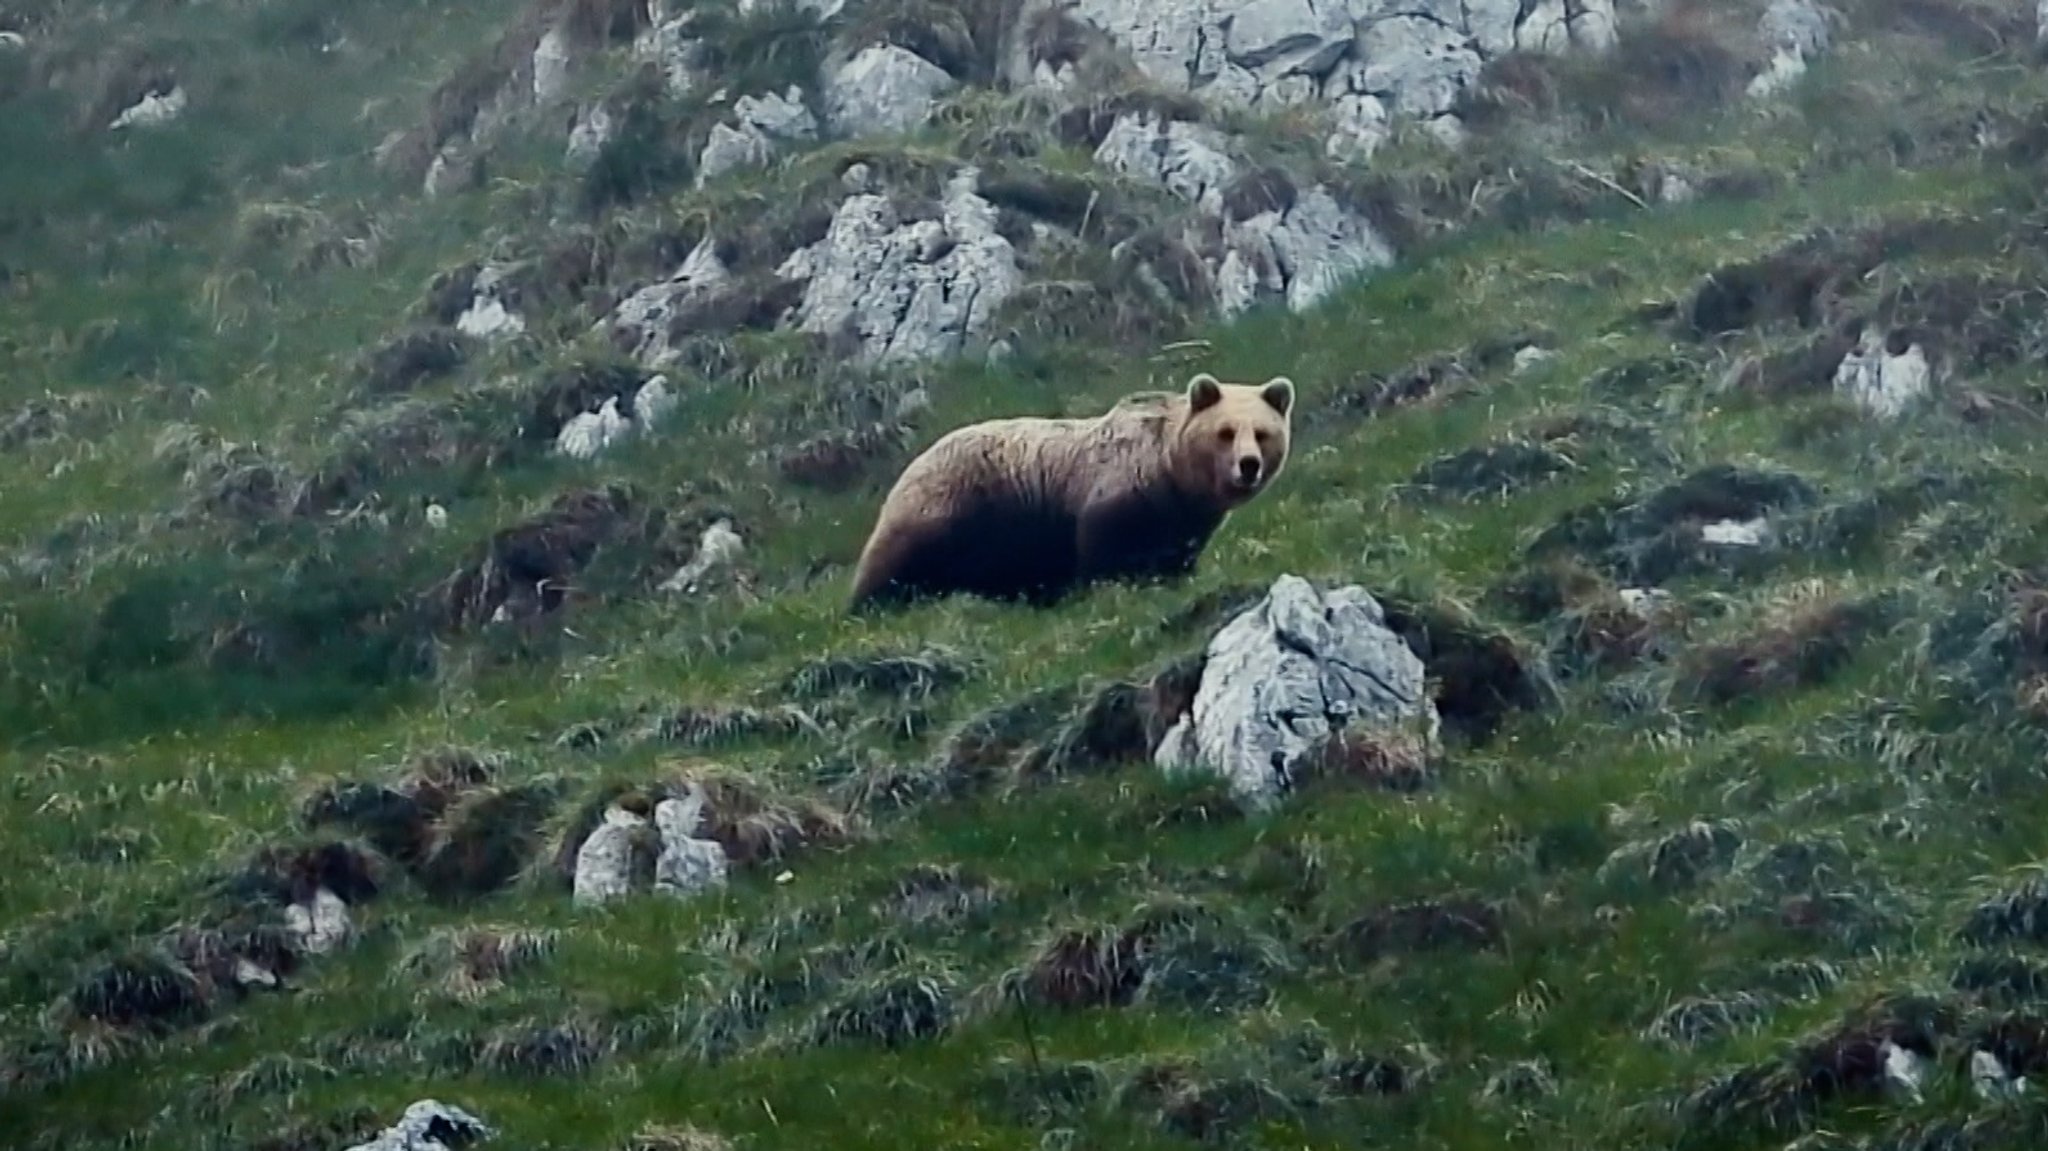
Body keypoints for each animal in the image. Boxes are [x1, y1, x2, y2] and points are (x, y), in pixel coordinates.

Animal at [843, 372, 1294, 614]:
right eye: (1225, 432)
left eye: (1262, 432)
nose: (1248, 465)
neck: (1173, 476)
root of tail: (911, 462)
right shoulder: (1117, 493)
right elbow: (1101, 551)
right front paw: (1108, 588)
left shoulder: (1185, 522)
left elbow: (1175, 558)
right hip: (951, 507)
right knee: (895, 561)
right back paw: (873, 603)